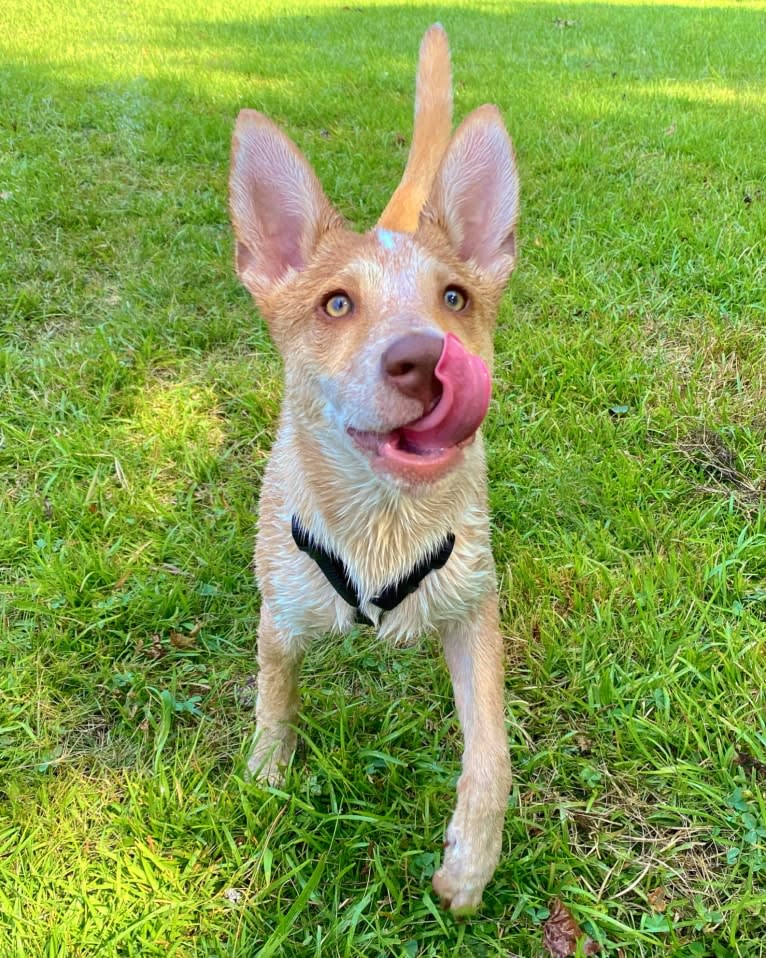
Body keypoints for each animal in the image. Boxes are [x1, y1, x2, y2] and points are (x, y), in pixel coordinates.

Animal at [228, 24, 520, 916]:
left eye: (454, 298)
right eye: (335, 304)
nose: (424, 358)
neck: (384, 520)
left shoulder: (473, 604)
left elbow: (492, 753)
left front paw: (470, 865)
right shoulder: (280, 616)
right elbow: (275, 696)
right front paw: (266, 774)